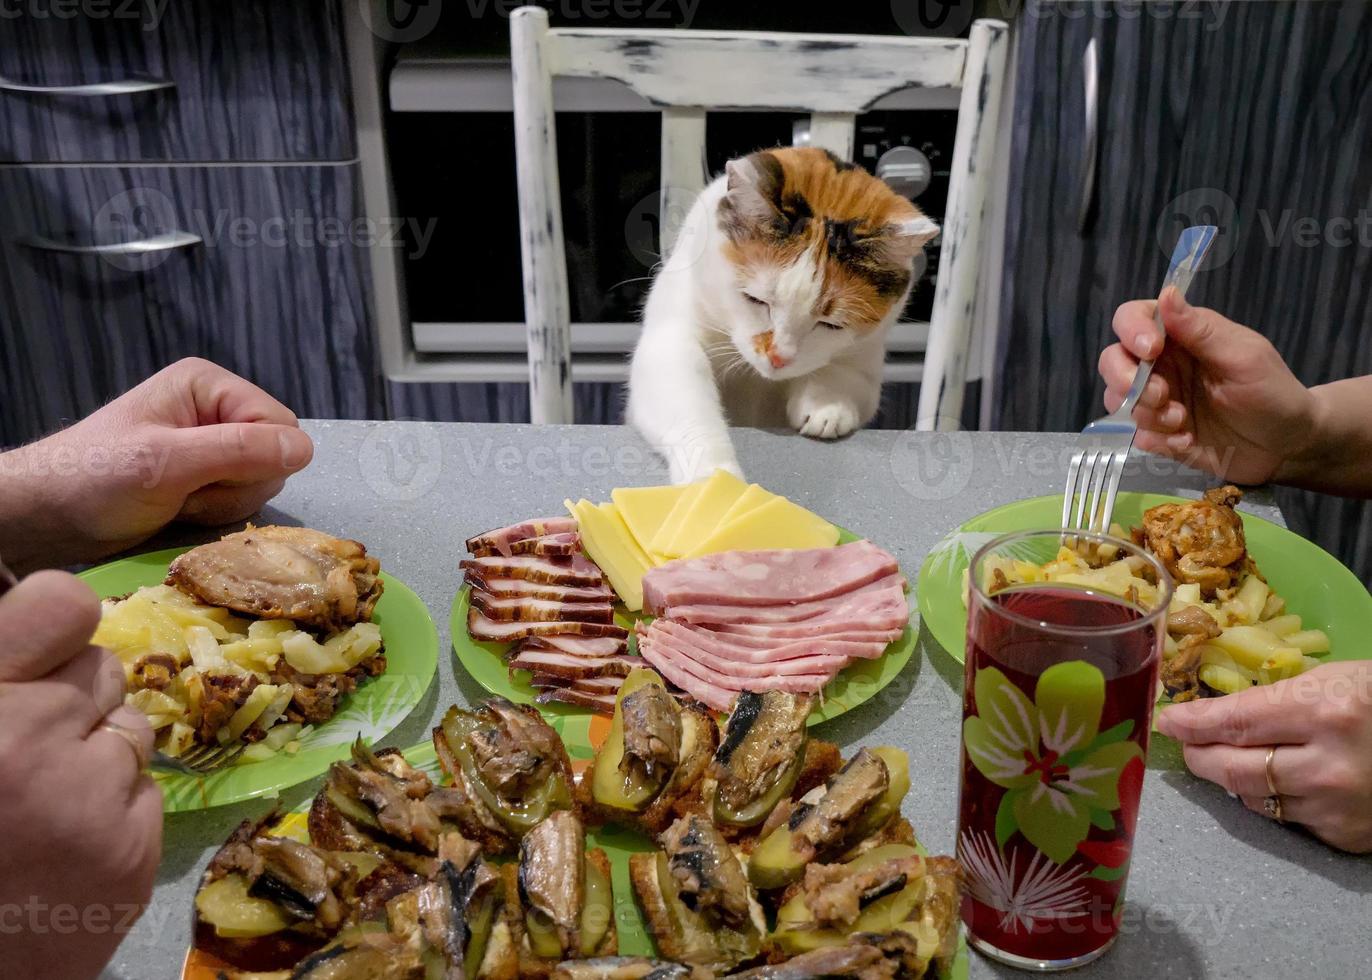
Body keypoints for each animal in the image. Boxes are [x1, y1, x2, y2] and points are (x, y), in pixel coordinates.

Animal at [628, 146, 938, 483]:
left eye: (831, 324)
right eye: (754, 299)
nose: (778, 357)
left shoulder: (867, 357)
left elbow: (843, 375)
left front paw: (826, 406)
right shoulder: (669, 342)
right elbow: (691, 413)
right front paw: (713, 477)